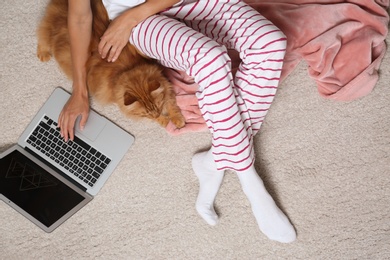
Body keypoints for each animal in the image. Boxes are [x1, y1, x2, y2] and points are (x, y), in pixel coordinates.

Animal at [36, 0, 186, 128]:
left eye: (158, 106)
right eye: (146, 114)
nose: (156, 114)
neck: (129, 68)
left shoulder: (164, 82)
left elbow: (171, 104)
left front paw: (177, 119)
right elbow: (161, 115)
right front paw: (164, 121)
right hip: (49, 31)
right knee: (42, 36)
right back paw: (43, 54)